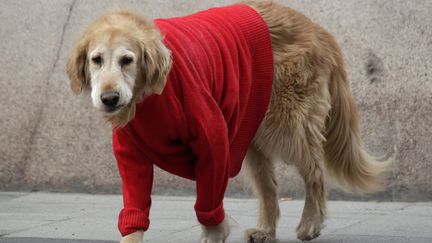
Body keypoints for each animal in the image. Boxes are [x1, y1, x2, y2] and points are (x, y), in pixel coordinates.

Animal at [65, 0, 392, 242]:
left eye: (127, 60)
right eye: (96, 60)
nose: (109, 98)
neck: (150, 95)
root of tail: (316, 27)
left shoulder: (213, 141)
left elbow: (208, 203)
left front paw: (213, 233)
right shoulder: (131, 157)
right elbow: (135, 207)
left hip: (286, 126)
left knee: (314, 173)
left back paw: (311, 223)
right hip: (251, 130)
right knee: (269, 186)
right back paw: (266, 230)